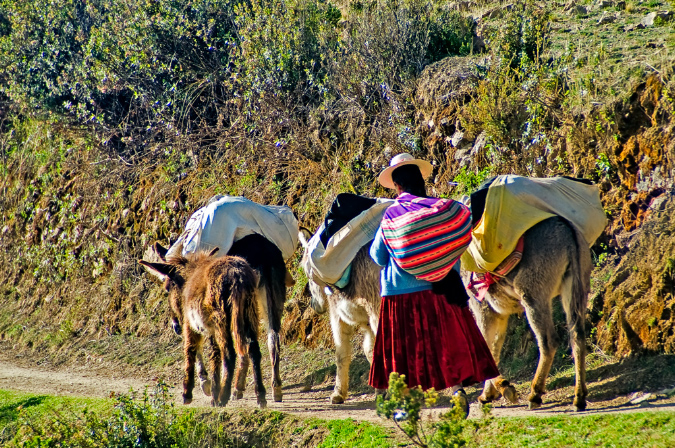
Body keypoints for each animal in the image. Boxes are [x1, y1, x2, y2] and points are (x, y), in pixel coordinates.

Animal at [140, 250, 266, 408]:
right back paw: (260, 396)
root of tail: (237, 275)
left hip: (221, 319)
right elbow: (214, 355)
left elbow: (190, 350)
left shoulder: (190, 324)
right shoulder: (210, 329)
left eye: (168, 288)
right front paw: (214, 393)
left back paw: (224, 396)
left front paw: (187, 393)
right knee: (254, 349)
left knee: (229, 353)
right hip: (249, 313)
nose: (175, 325)